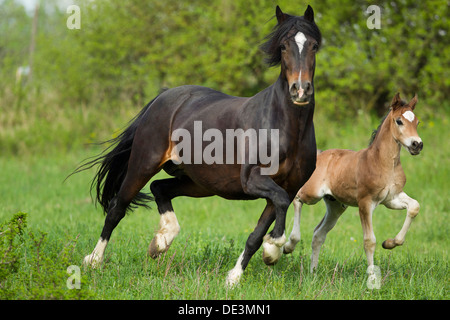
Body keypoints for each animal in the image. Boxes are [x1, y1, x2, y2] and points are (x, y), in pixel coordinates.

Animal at [80, 5, 320, 286]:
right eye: (283, 46)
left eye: (314, 45)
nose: (300, 90)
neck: (284, 127)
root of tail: (163, 96)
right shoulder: (253, 180)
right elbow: (277, 206)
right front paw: (274, 247)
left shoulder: (288, 187)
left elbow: (258, 232)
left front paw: (236, 276)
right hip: (144, 164)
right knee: (118, 207)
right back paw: (94, 260)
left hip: (200, 182)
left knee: (159, 188)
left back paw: (160, 241)